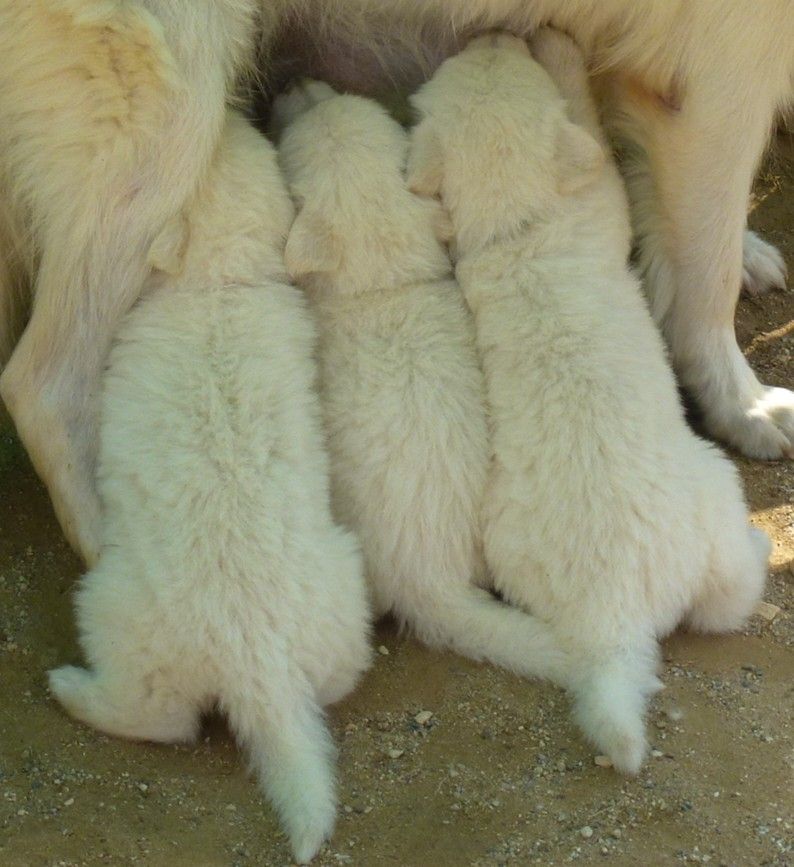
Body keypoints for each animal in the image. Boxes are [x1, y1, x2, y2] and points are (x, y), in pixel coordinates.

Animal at [1, 0, 792, 564]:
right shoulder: (722, 75)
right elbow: (704, 271)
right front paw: (743, 404)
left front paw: (743, 255)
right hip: (164, 124)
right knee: (42, 384)